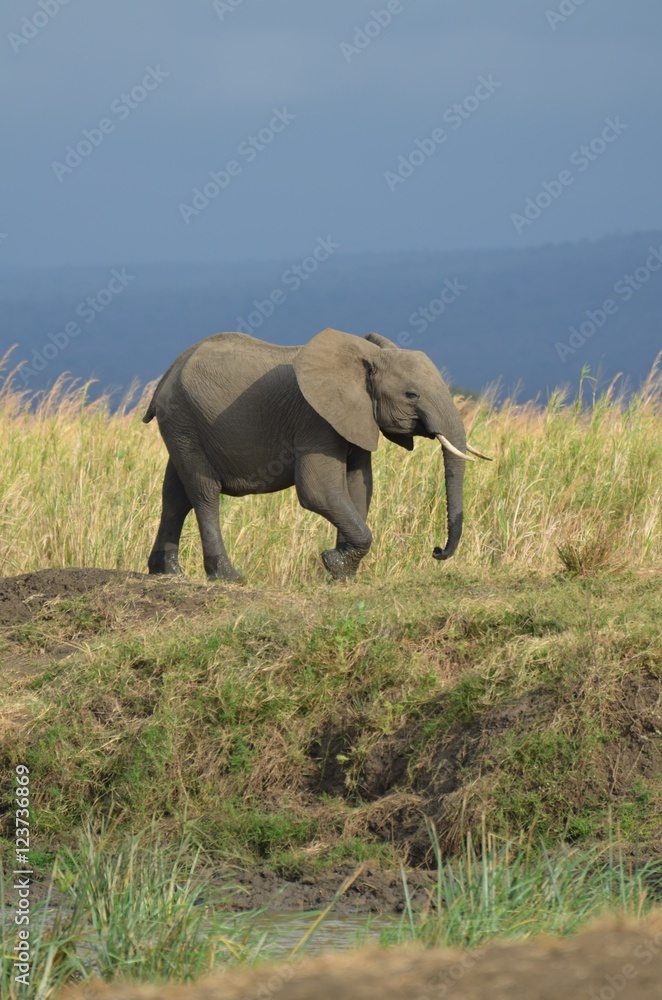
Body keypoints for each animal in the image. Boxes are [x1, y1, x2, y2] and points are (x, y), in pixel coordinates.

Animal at [143, 328, 490, 582]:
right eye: (412, 395)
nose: (436, 550)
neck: (365, 358)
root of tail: (169, 372)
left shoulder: (354, 419)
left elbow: (359, 487)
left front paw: (343, 574)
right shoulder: (315, 420)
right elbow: (318, 491)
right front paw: (333, 563)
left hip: (183, 426)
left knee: (175, 494)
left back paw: (167, 573)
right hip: (184, 418)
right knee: (204, 492)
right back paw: (229, 577)